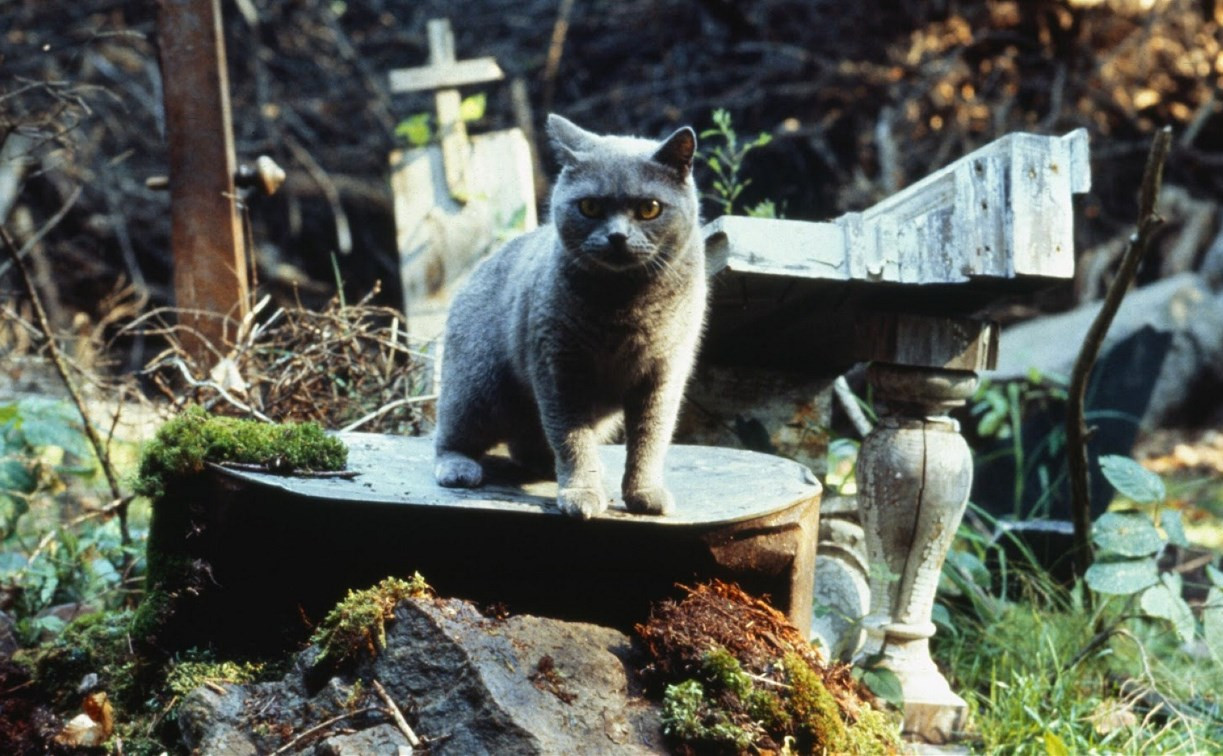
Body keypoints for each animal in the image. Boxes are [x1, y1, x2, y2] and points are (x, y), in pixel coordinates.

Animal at [435, 113, 709, 518]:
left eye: (649, 209)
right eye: (590, 207)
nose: (617, 237)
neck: (624, 305)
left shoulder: (664, 373)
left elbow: (650, 437)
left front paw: (645, 493)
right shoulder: (559, 368)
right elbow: (571, 438)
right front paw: (581, 492)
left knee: (527, 446)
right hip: (478, 386)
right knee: (450, 433)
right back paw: (459, 467)